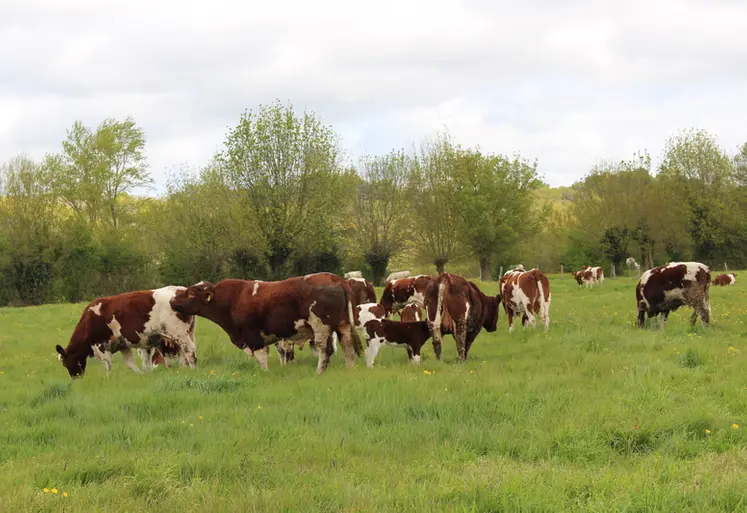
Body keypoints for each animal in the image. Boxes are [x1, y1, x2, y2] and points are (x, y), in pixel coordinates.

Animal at [55, 286, 198, 378]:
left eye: (65, 363)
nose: (75, 378)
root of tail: (182, 289)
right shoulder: (122, 345)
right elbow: (130, 363)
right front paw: (141, 375)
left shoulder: (101, 345)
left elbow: (107, 364)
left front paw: (108, 378)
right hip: (186, 333)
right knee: (183, 354)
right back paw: (185, 369)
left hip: (180, 333)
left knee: (190, 350)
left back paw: (193, 369)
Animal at [169, 273, 363, 374]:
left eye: (191, 293)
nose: (172, 300)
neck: (232, 299)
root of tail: (334, 278)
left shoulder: (253, 336)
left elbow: (262, 358)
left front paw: (265, 373)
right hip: (343, 326)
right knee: (348, 348)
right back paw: (350, 369)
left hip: (321, 327)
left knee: (325, 351)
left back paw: (319, 372)